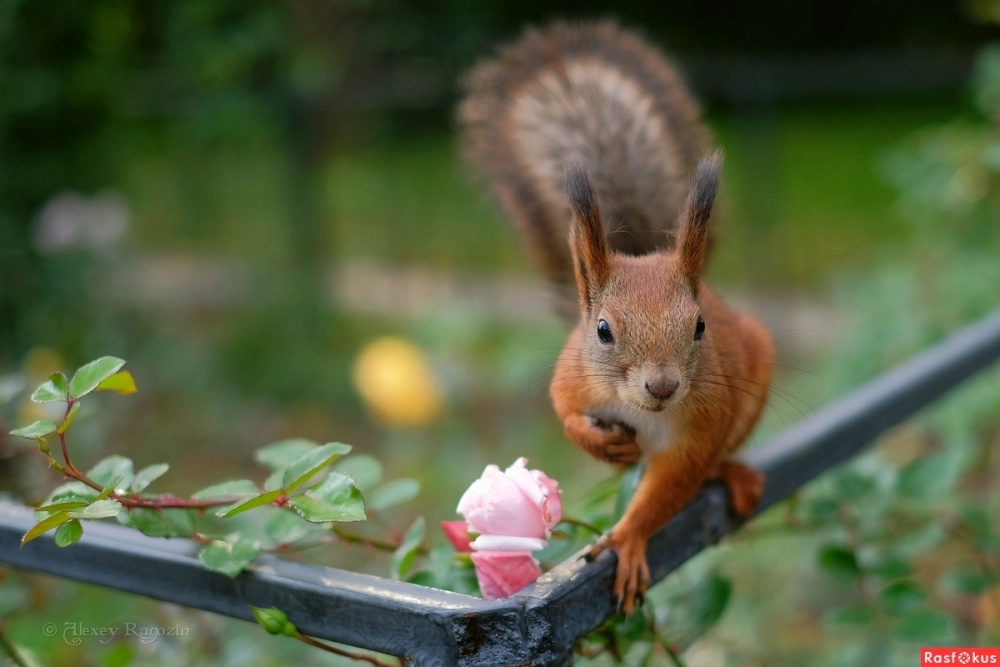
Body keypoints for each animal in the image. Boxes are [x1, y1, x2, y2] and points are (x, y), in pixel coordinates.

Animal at [458, 20, 772, 612]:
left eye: (700, 326)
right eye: (602, 330)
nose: (662, 386)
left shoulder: (702, 424)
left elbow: (672, 485)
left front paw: (627, 539)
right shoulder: (573, 373)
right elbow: (563, 409)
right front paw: (596, 440)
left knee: (714, 463)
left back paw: (733, 473)